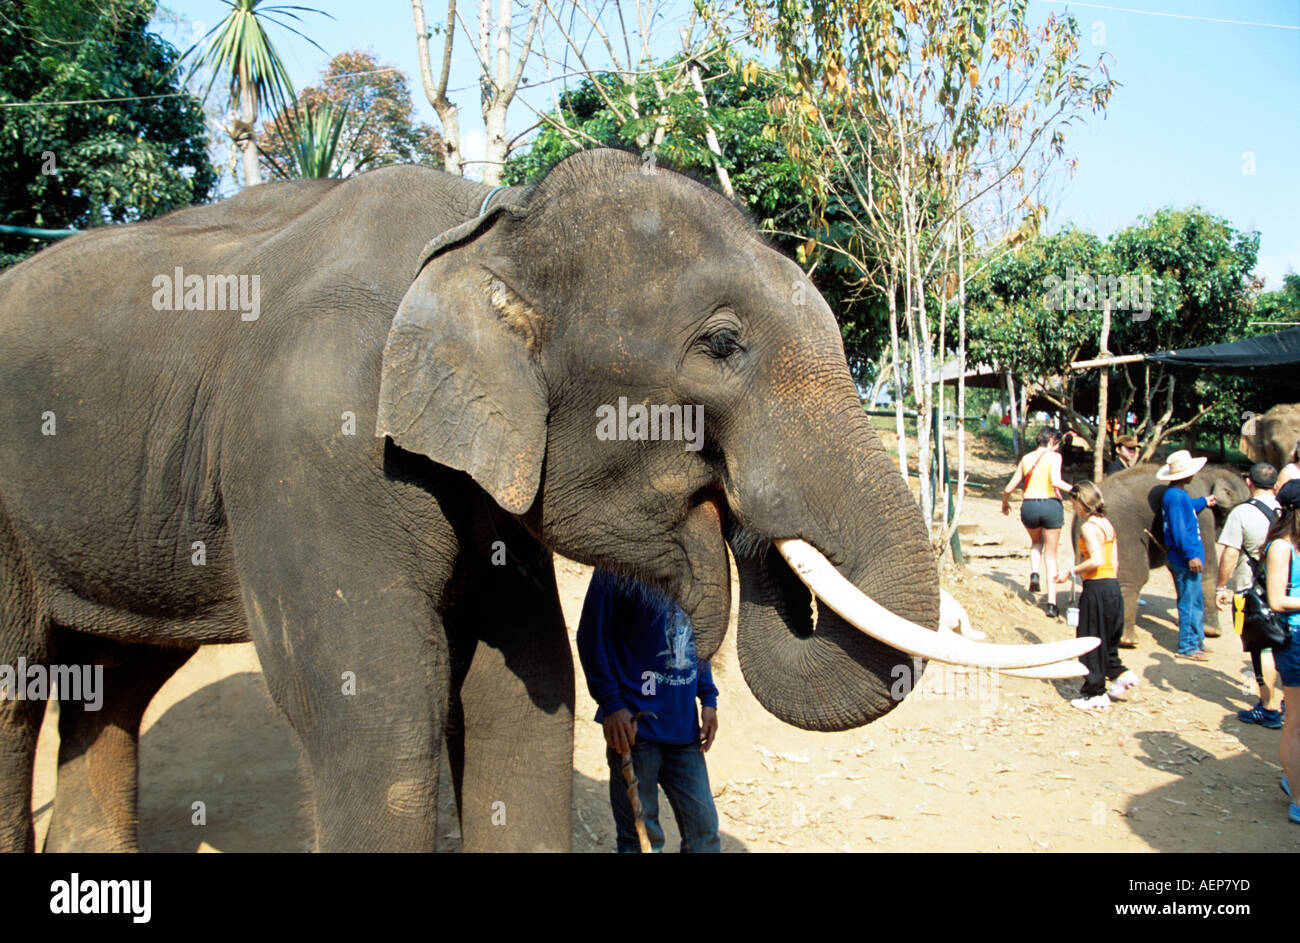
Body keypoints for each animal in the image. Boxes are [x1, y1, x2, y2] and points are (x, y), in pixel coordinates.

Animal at [0, 148, 1079, 853]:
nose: (744, 523)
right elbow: (372, 710)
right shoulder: (310, 444)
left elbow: (522, 689)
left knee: (116, 682)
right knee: (18, 688)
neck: (485, 224)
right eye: (721, 344)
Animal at [1078, 462, 1249, 647]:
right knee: (1135, 576)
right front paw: (1212, 632)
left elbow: (1178, 567)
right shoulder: (1202, 518)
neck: (1209, 473)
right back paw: (1127, 640)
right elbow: (1206, 566)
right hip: (1123, 532)